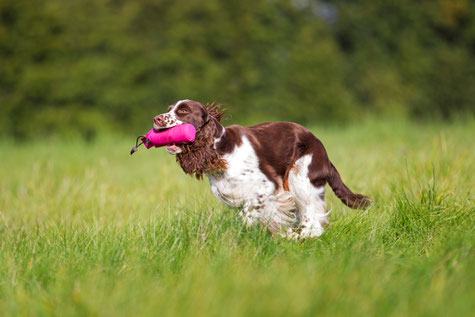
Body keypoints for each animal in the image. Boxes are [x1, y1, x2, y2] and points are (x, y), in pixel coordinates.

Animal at [153, 99, 372, 237]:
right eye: (170, 108)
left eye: (183, 111)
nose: (156, 119)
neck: (219, 150)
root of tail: (324, 153)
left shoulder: (265, 187)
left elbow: (249, 216)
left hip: (301, 176)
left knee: (313, 222)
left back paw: (298, 237)